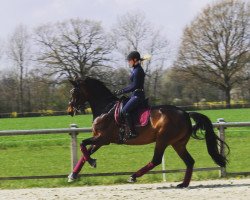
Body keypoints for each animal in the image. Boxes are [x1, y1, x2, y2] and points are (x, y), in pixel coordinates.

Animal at [66, 77, 229, 188]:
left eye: (74, 92)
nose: (69, 111)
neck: (105, 108)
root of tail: (185, 113)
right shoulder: (99, 140)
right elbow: (85, 153)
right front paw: (73, 175)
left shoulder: (103, 139)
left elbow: (82, 145)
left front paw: (92, 162)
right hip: (178, 143)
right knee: (189, 161)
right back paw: (183, 184)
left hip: (162, 140)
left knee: (156, 160)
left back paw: (133, 176)